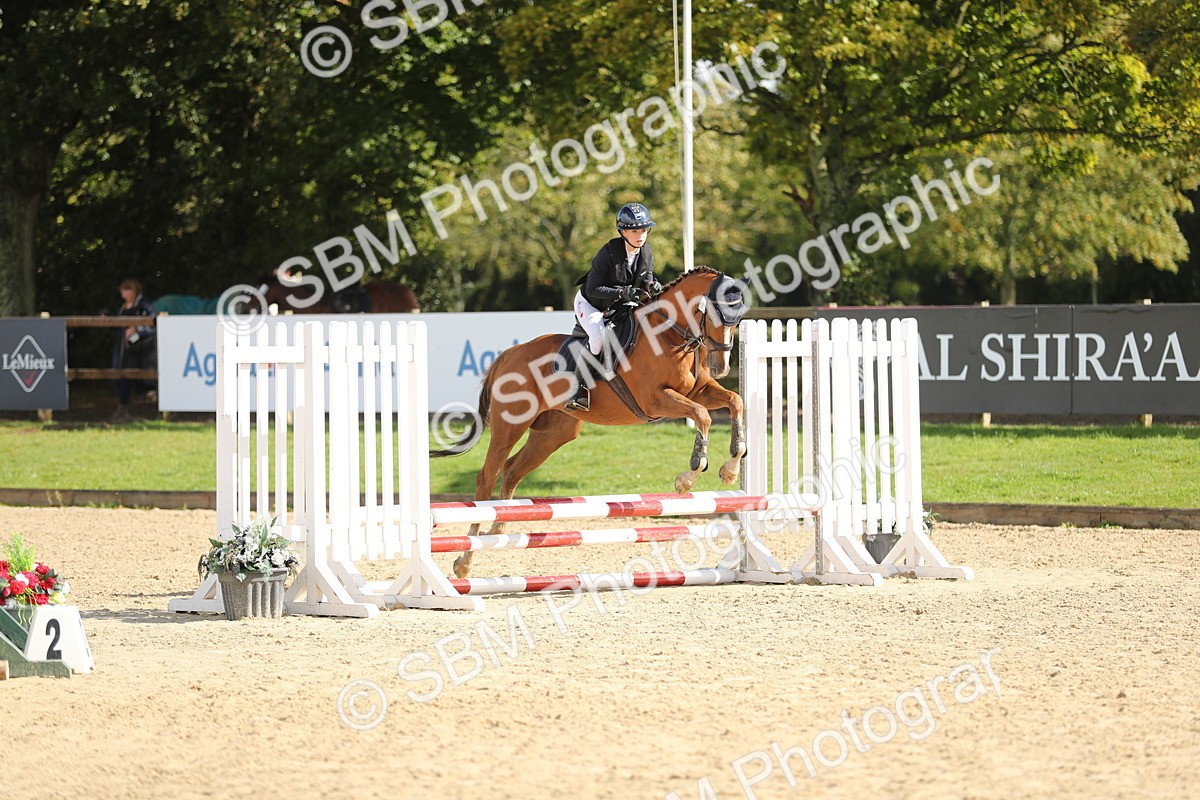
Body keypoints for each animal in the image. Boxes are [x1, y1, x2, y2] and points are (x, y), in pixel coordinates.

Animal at [432, 266, 750, 579]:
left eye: (737, 319)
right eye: (714, 314)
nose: (721, 367)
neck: (669, 334)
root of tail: (510, 355)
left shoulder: (699, 391)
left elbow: (735, 402)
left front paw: (730, 470)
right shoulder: (656, 400)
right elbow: (703, 415)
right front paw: (688, 477)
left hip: (553, 433)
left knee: (511, 471)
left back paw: (497, 530)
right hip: (510, 424)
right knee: (486, 477)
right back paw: (465, 560)